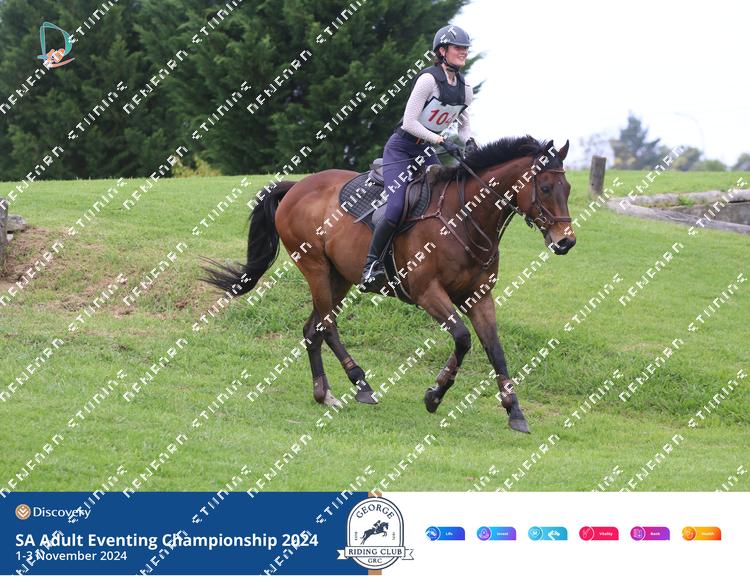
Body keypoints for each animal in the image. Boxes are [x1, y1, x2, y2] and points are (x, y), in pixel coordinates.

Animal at [202, 136, 575, 434]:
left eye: (568, 189)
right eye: (544, 188)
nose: (566, 241)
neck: (465, 218)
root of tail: (296, 186)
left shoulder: (480, 297)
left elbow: (494, 348)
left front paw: (515, 412)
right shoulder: (427, 292)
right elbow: (462, 338)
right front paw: (435, 394)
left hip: (339, 276)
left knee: (314, 328)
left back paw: (337, 390)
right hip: (316, 268)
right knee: (324, 326)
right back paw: (349, 387)